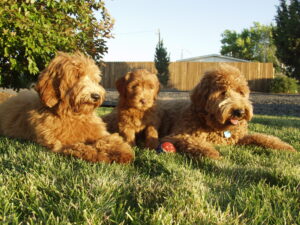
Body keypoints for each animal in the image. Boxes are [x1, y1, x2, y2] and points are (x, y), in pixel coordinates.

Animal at [0, 51, 135, 163]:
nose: (96, 96)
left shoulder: (99, 132)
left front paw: (121, 152)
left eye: (94, 78)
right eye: (76, 76)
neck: (74, 115)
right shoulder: (59, 143)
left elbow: (111, 139)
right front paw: (98, 154)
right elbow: (80, 147)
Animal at [161, 63, 296, 159]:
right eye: (222, 92)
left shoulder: (239, 138)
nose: (240, 112)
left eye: (241, 92)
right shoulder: (175, 136)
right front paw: (211, 152)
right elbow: (191, 141)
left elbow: (261, 137)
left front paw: (285, 147)